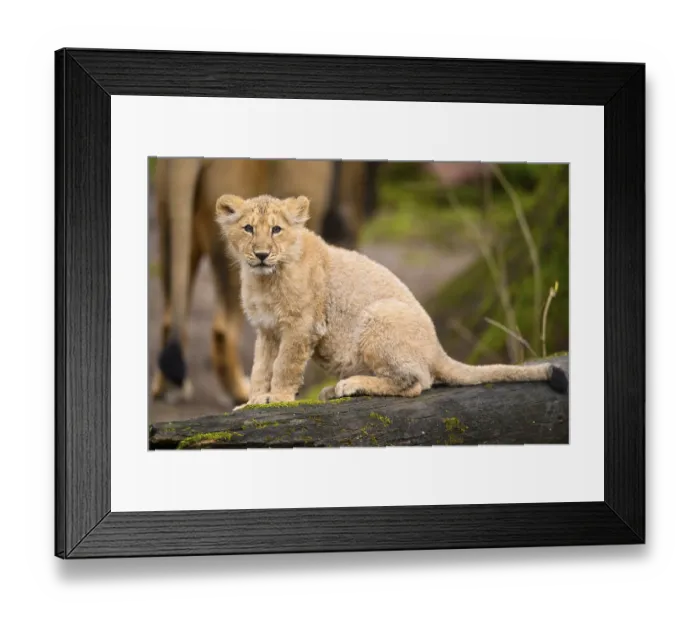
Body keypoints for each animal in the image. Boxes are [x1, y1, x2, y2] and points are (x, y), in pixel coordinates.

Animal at [215, 194, 568, 407]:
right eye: (248, 229)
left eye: (276, 229)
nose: (261, 254)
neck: (264, 280)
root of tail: (437, 349)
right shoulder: (267, 329)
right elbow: (260, 367)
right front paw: (253, 402)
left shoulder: (302, 326)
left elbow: (284, 365)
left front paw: (279, 398)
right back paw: (333, 390)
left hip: (379, 317)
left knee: (417, 382)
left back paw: (349, 386)